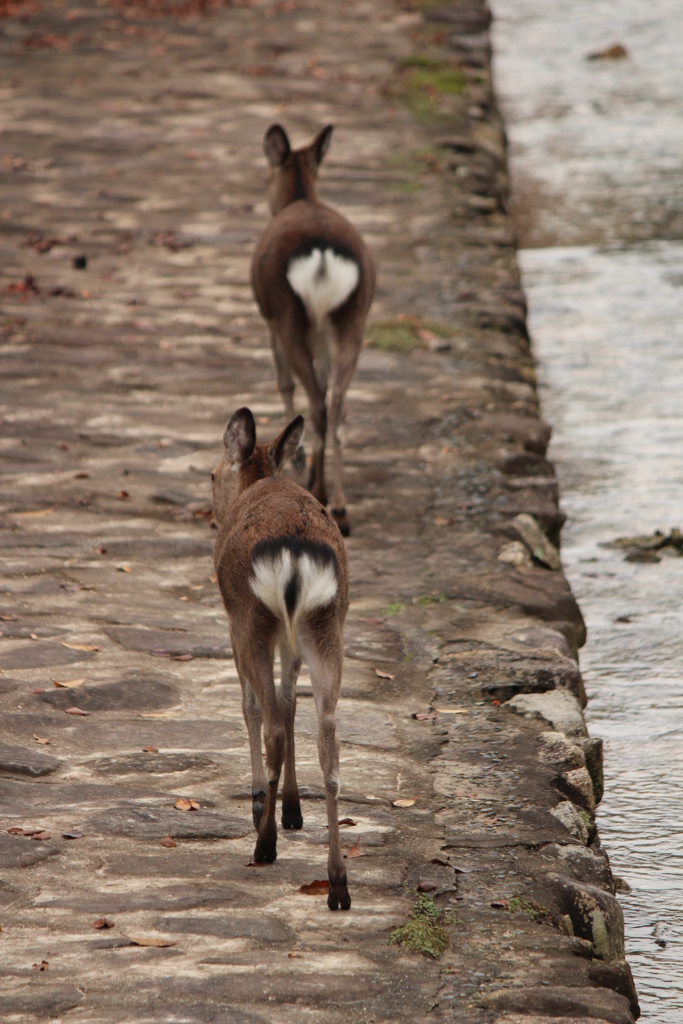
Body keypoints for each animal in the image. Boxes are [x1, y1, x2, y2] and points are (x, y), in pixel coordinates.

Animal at [211, 403, 352, 909]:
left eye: (211, 474)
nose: (211, 517)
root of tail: (293, 556)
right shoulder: (291, 642)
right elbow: (292, 704)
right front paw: (293, 809)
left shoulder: (234, 622)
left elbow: (253, 706)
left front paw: (260, 803)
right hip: (325, 626)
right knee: (328, 742)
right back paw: (337, 883)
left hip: (254, 619)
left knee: (270, 723)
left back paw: (264, 842)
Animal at [249, 121, 376, 536]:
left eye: (265, 176)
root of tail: (321, 257)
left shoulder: (269, 319)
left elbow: (284, 383)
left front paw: (297, 458)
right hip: (352, 318)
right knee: (337, 405)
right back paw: (340, 505)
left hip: (289, 316)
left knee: (318, 402)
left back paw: (318, 488)